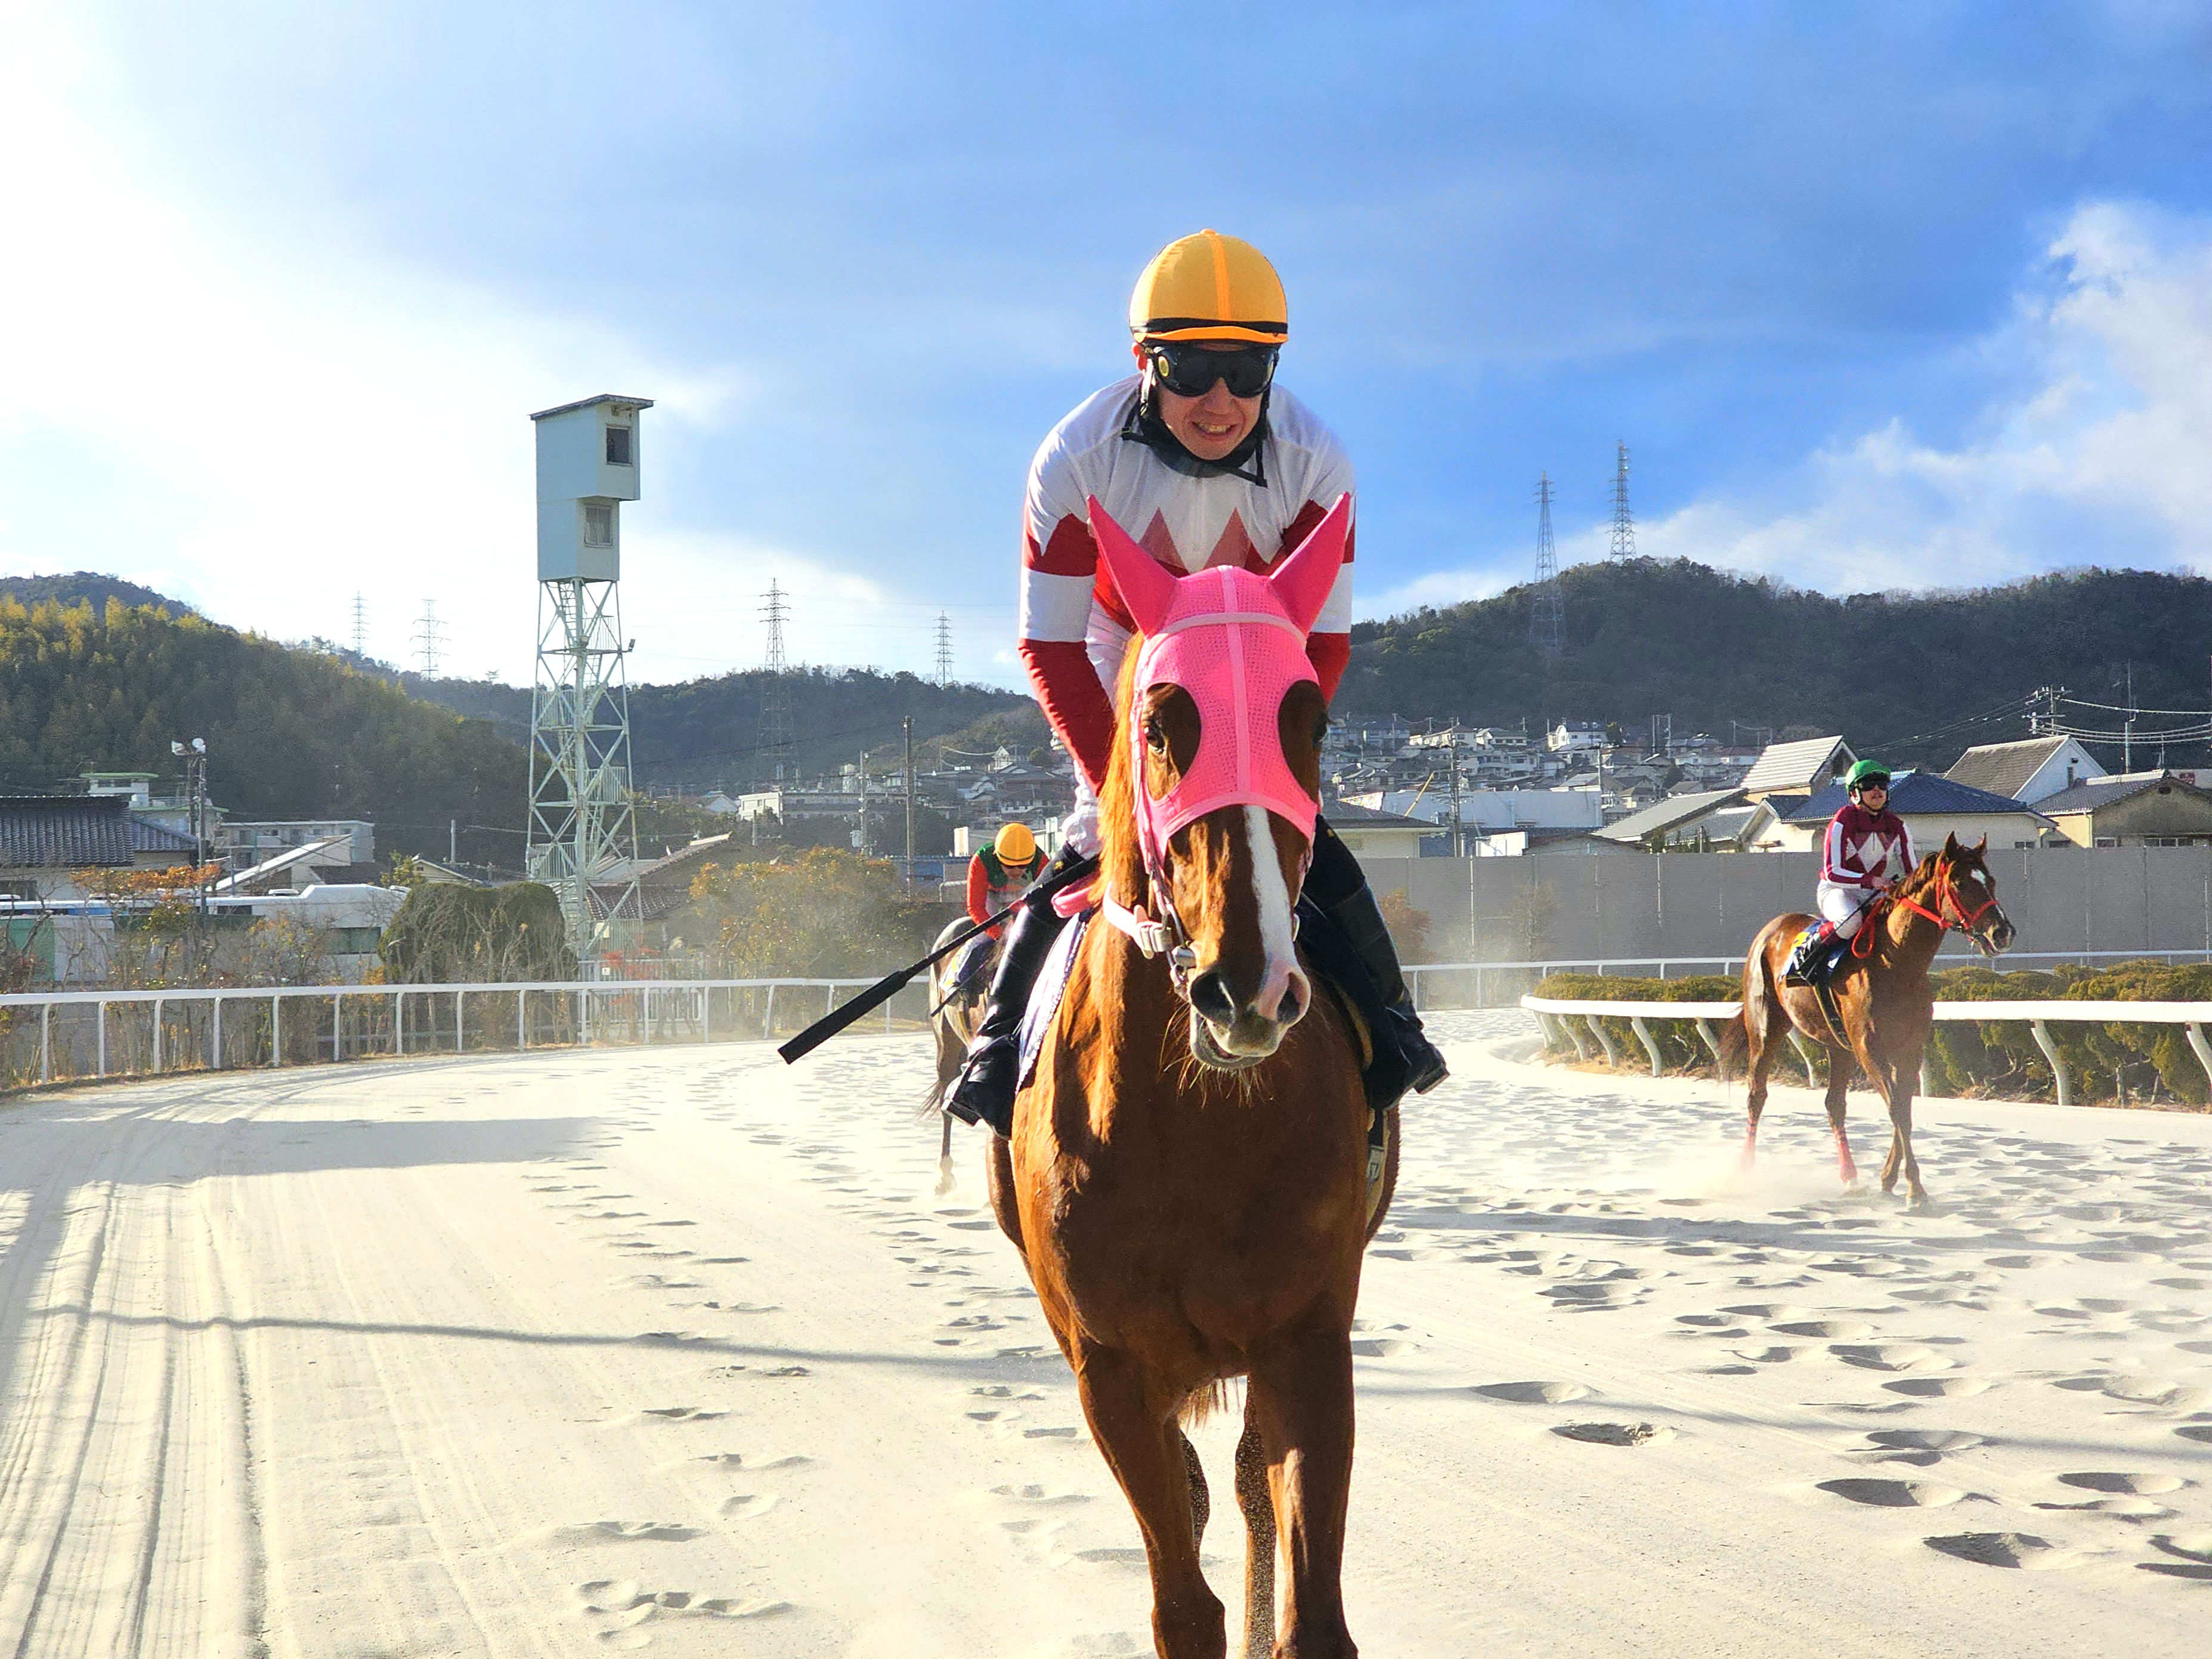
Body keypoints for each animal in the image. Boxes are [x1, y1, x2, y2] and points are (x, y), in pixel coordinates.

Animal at [983, 494, 1395, 1659]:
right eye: (1164, 720)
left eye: (1309, 721)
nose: (1245, 986)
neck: (1195, 1127)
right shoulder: (1110, 1367)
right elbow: (1182, 1598)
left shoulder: (1309, 1338)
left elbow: (1310, 1610)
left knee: (1248, 1484)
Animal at [1723, 833, 2013, 1206]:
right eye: (1960, 883)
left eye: (1990, 881)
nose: (2002, 933)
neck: (1897, 964)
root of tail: (1772, 929)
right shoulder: (1868, 1048)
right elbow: (1896, 1110)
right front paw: (1914, 1187)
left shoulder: (1910, 1048)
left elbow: (1904, 1109)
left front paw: (1890, 1178)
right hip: (1766, 1028)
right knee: (1756, 1095)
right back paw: (1745, 1168)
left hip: (1838, 1045)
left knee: (1834, 1104)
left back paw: (1850, 1177)